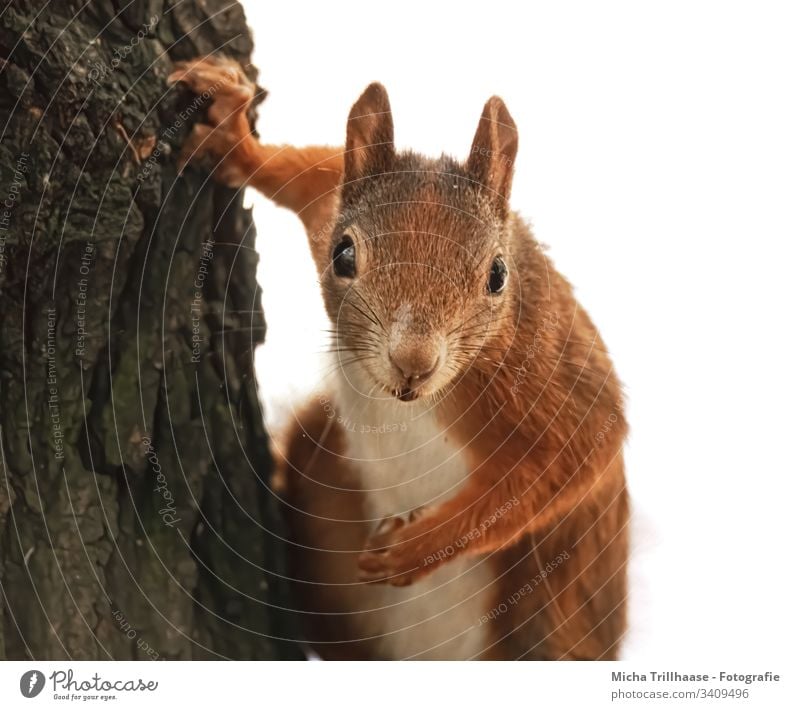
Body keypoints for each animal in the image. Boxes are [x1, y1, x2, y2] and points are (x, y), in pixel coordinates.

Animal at [170, 55, 632, 660]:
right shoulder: (329, 202)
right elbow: (309, 171)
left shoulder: (550, 377)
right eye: (343, 255)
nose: (414, 363)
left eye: (498, 274)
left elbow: (570, 457)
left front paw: (419, 548)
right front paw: (232, 135)